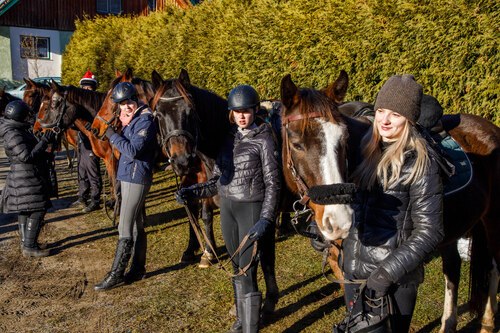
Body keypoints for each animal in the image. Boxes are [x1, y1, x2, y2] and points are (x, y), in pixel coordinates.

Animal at [280, 70, 498, 332]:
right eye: (296, 144)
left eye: (343, 140)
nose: (339, 221)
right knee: (453, 268)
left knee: (494, 267)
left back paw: (488, 322)